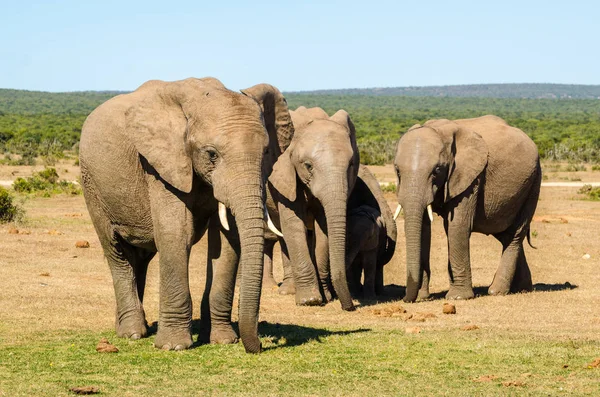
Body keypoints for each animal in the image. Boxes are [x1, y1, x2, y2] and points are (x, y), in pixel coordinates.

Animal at [79, 77, 292, 352]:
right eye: (212, 154)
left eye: (266, 152)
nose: (259, 345)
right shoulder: (161, 165)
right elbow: (175, 233)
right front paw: (174, 347)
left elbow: (227, 241)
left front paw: (223, 340)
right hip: (91, 185)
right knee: (116, 251)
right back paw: (132, 333)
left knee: (140, 257)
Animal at [394, 116, 544, 302]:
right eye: (397, 170)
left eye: (437, 170)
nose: (406, 299)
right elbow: (423, 228)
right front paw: (423, 298)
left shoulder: (470, 178)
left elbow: (457, 227)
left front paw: (458, 297)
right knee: (504, 234)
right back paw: (522, 289)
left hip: (534, 182)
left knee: (514, 234)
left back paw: (497, 291)